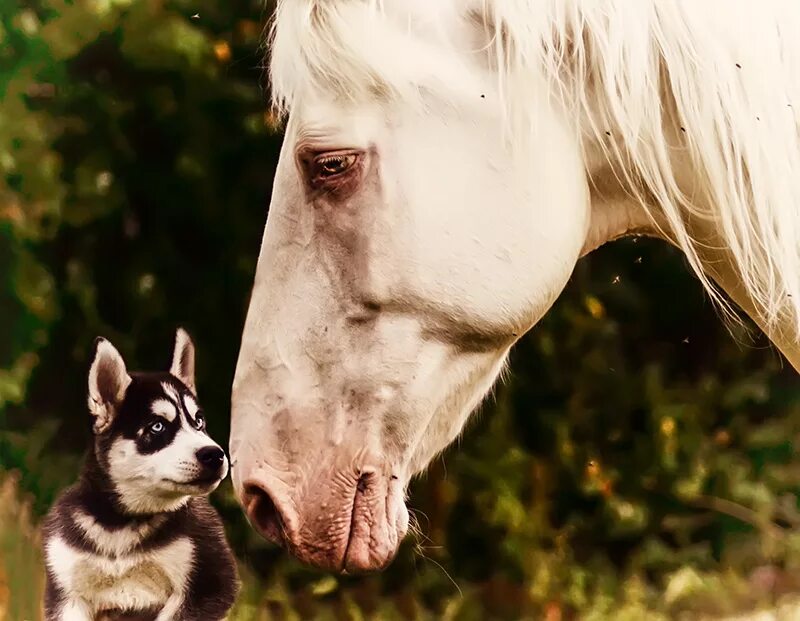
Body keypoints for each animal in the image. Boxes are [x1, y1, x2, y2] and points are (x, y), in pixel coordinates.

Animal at [41, 326, 238, 616]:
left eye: (199, 422)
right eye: (157, 427)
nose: (215, 454)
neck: (121, 522)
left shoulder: (208, 582)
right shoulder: (67, 594)